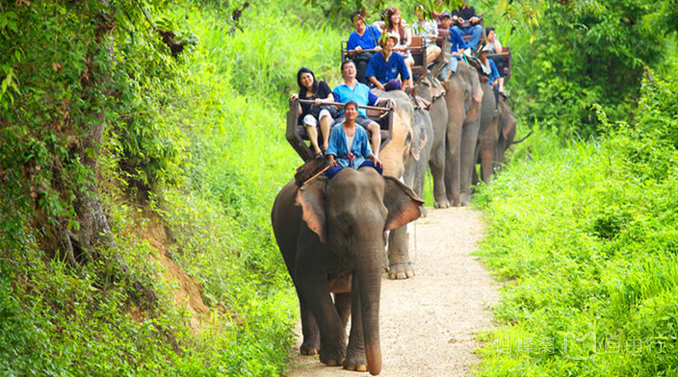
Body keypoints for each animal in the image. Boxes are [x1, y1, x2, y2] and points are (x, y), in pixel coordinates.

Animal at [272, 168, 424, 374]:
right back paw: (311, 349)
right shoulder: (310, 235)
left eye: (385, 218)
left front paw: (357, 365)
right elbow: (310, 282)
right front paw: (333, 360)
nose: (374, 371)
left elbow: (358, 287)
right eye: (345, 221)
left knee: (344, 297)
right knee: (302, 292)